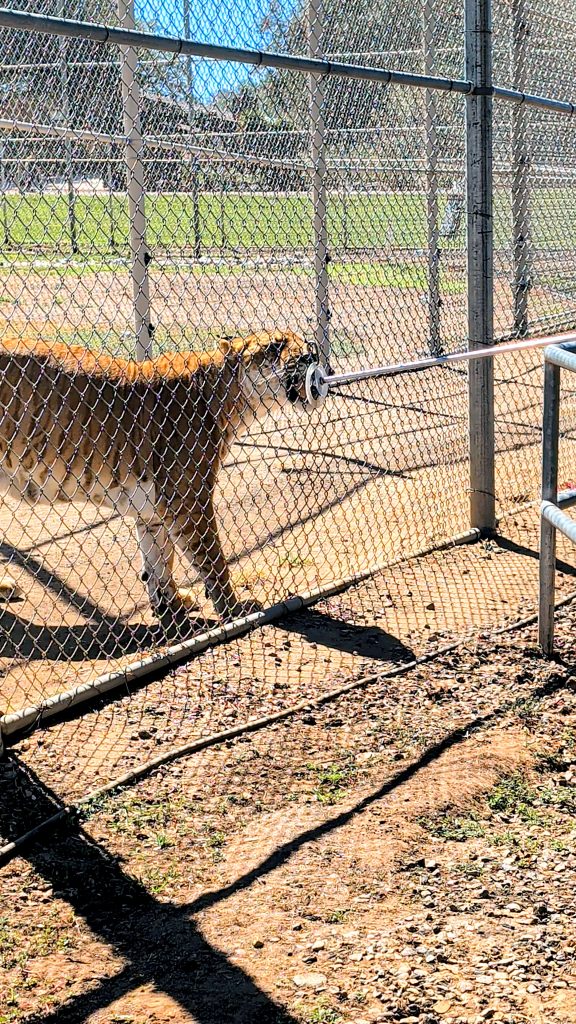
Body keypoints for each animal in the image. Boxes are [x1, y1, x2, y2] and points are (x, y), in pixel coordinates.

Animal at [0, 328, 319, 631]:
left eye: (305, 343)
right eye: (275, 345)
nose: (311, 356)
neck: (229, 402)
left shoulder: (154, 510)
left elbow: (160, 560)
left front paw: (172, 605)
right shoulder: (189, 502)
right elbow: (213, 560)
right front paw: (236, 609)